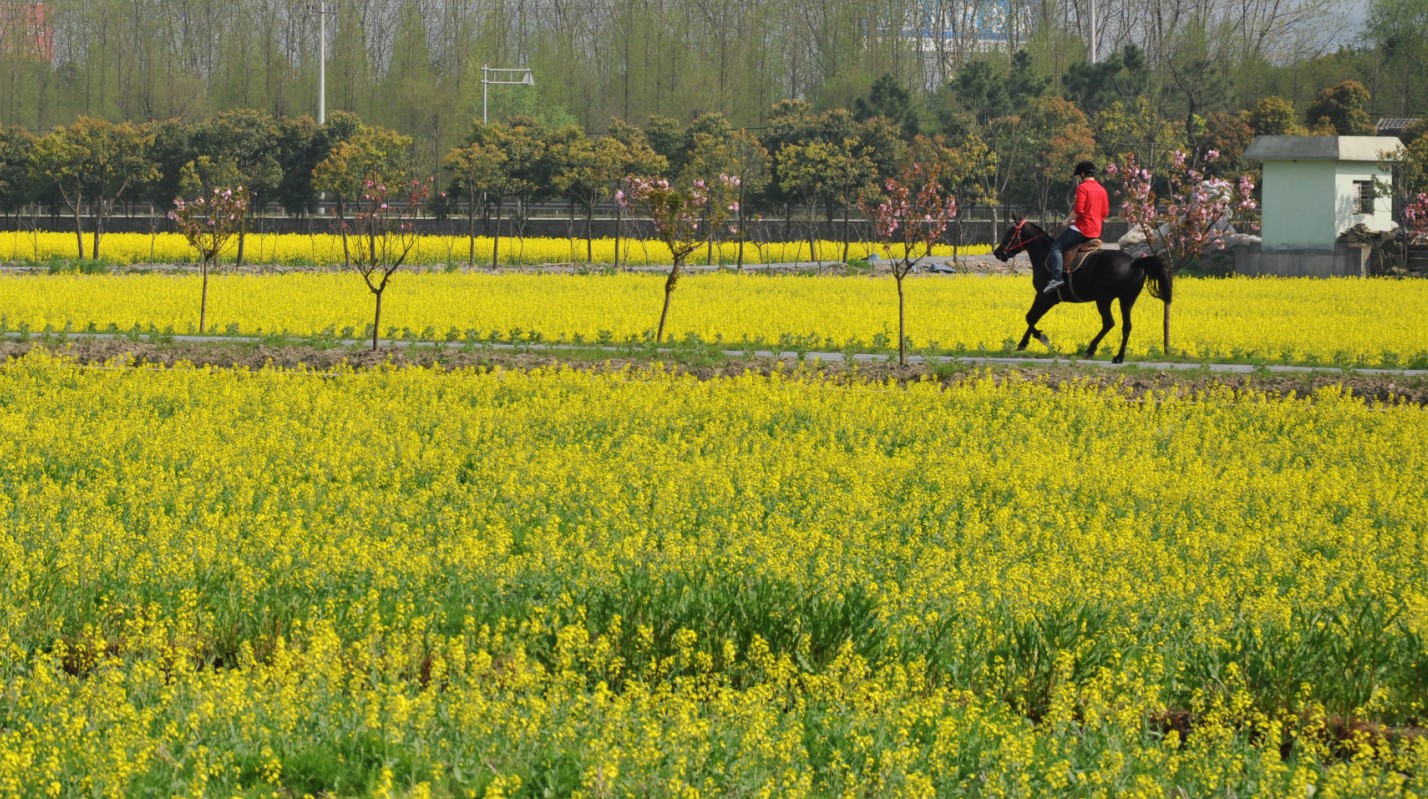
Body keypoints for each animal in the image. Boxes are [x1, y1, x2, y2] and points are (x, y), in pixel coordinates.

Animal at [993, 221, 1170, 365]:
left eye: (1010, 232)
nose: (997, 253)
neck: (1045, 254)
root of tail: (1134, 262)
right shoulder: (1047, 299)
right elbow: (1032, 317)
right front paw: (1024, 342)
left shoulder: (1045, 297)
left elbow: (1030, 317)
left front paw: (1039, 339)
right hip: (1126, 300)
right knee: (1126, 326)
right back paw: (1119, 357)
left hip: (1104, 299)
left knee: (1109, 323)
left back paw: (1090, 349)